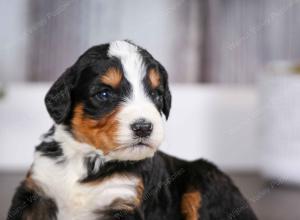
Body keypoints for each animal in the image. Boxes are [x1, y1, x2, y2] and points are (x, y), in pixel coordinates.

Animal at [7, 40, 258, 219]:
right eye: (104, 94)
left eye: (156, 94)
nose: (143, 127)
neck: (89, 161)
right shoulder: (36, 192)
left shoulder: (123, 202)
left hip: (205, 181)